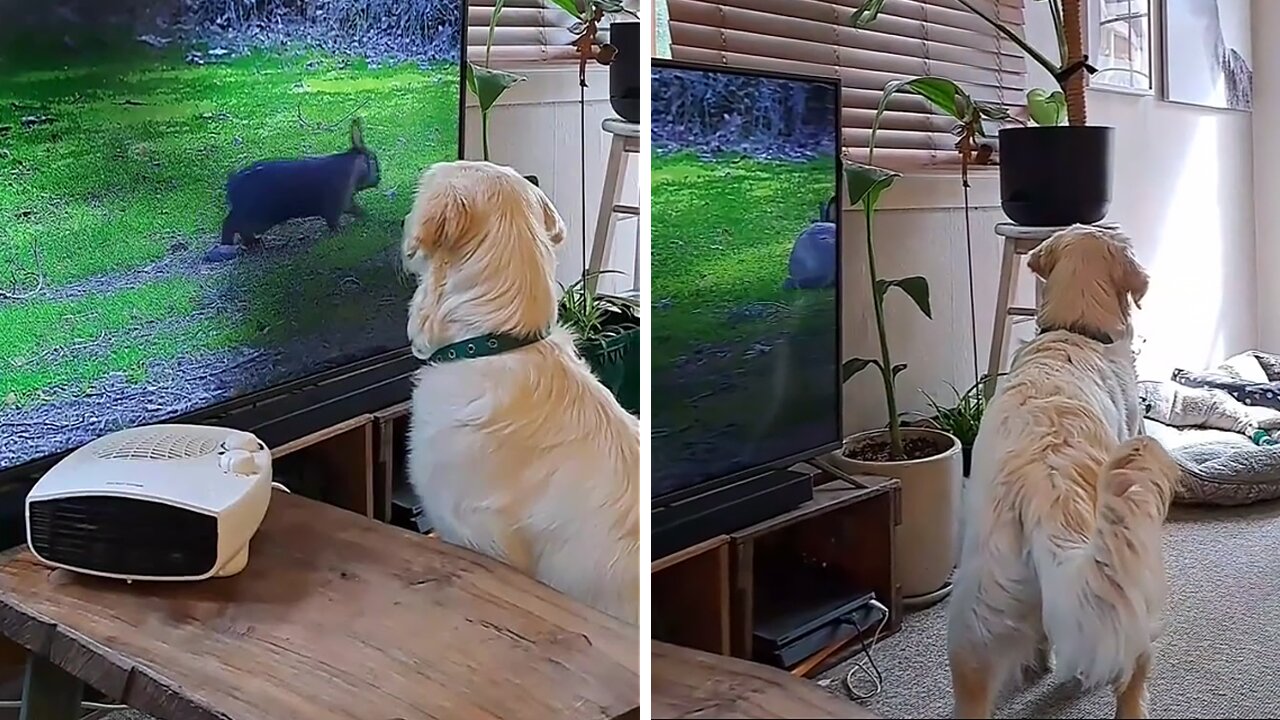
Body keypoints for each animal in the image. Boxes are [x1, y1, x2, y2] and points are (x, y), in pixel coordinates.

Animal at [207, 117, 378, 260]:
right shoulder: (338, 202)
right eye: (374, 160)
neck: (354, 166)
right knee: (231, 224)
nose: (379, 178)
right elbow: (337, 218)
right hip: (256, 216)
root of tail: (232, 183)